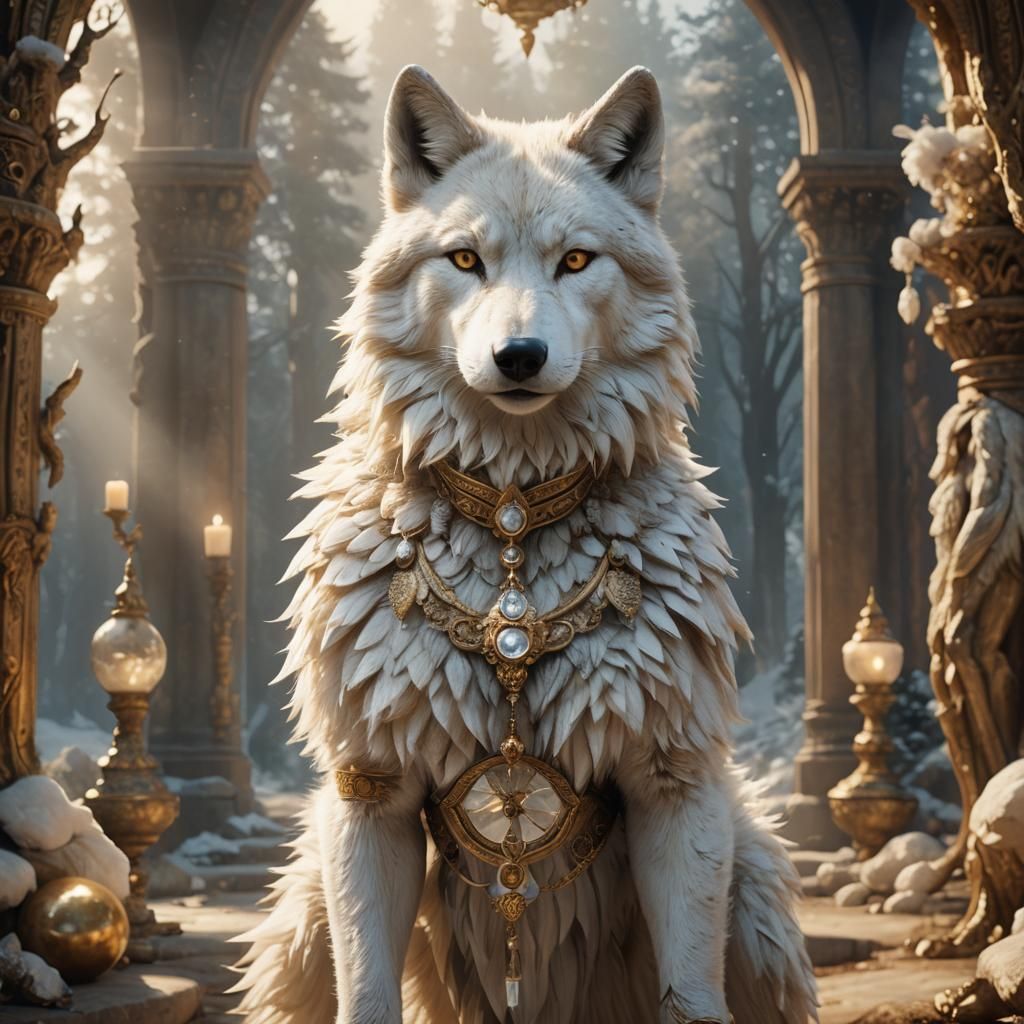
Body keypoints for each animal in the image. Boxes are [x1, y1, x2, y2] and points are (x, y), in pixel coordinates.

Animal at [234, 65, 818, 1024]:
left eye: (575, 260)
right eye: (465, 259)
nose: (519, 355)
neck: (512, 521)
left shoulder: (674, 782)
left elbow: (689, 994)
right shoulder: (370, 791)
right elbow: (369, 994)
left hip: (756, 890)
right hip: (305, 911)